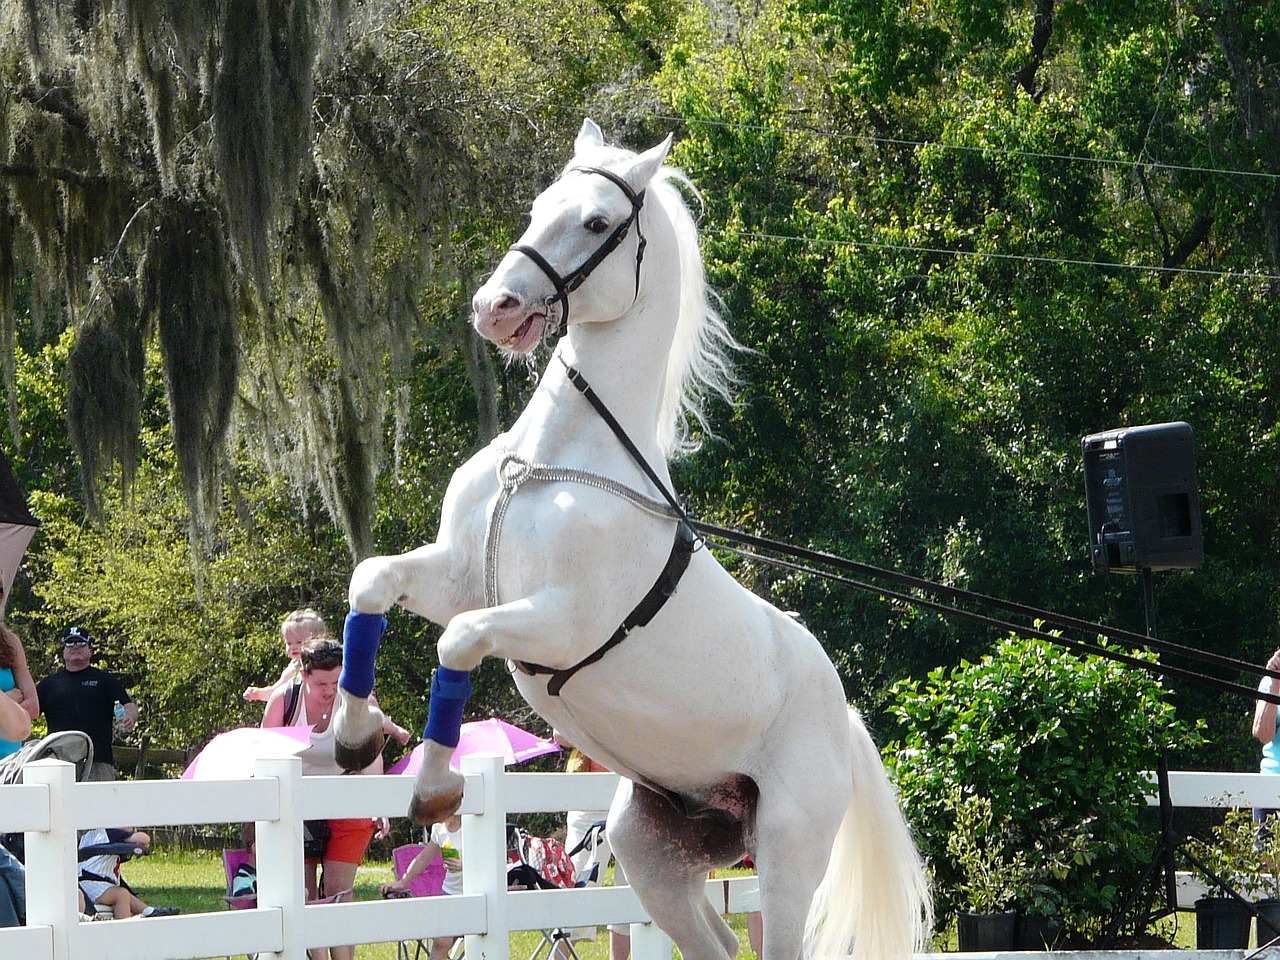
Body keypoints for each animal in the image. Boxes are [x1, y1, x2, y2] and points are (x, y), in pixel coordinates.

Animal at [332, 119, 930, 960]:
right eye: (540, 204)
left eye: (595, 223)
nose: (493, 307)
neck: (552, 461)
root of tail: (843, 718)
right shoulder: (456, 574)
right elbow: (373, 582)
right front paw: (352, 739)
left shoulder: (555, 619)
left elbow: (459, 639)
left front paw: (435, 787)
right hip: (652, 851)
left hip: (786, 859)